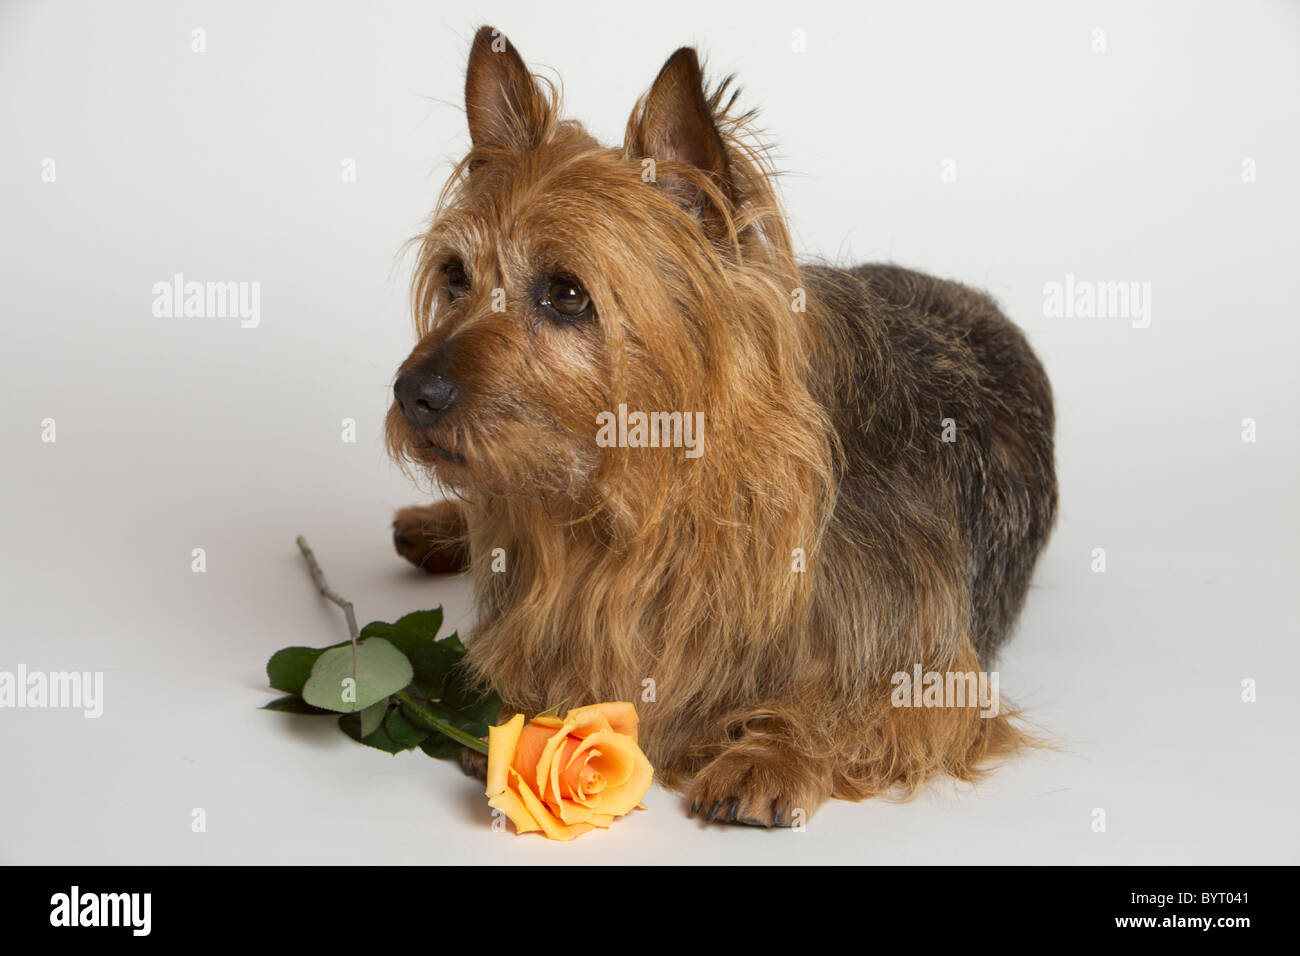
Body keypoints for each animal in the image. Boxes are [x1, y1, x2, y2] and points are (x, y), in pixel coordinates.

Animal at [382, 26, 1055, 827]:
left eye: (568, 294)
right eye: (455, 276)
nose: (411, 393)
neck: (653, 505)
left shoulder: (931, 675)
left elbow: (856, 709)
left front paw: (772, 752)